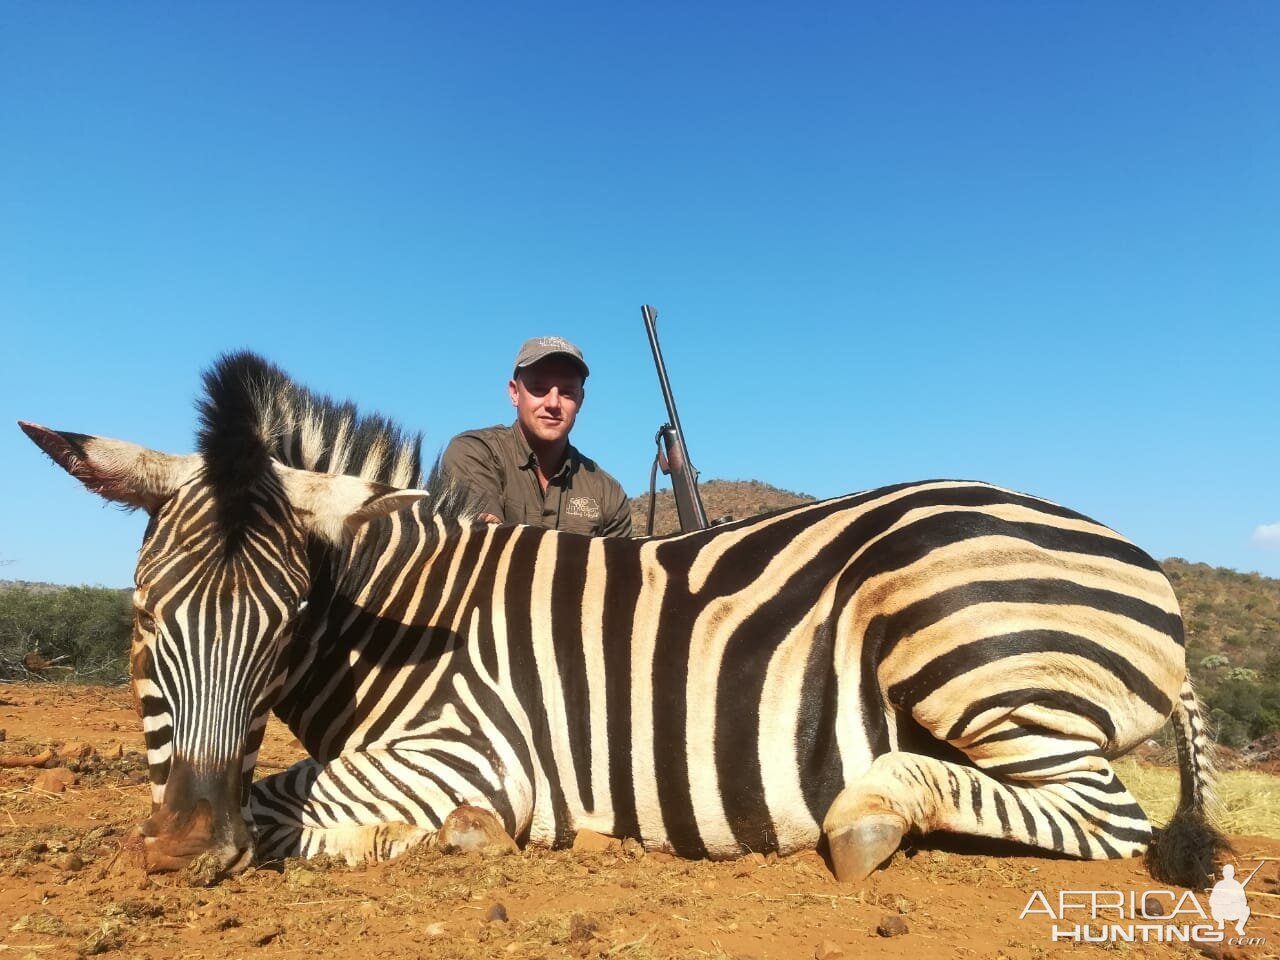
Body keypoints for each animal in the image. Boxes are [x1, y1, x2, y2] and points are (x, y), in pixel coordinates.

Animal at [17, 350, 1218, 885]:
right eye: (141, 621)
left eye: (282, 628)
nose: (182, 850)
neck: (401, 621)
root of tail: (1136, 557)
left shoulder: (472, 748)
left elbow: (285, 800)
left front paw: (439, 833)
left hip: (967, 652)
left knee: (1108, 817)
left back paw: (872, 815)